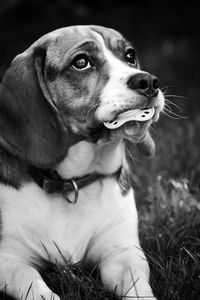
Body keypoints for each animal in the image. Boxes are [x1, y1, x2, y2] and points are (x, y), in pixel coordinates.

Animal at [0, 26, 164, 300]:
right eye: (81, 62)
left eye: (130, 55)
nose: (149, 82)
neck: (73, 182)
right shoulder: (8, 260)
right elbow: (31, 281)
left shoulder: (122, 253)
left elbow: (139, 287)